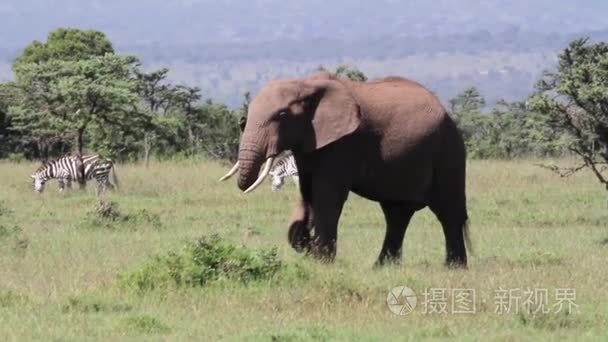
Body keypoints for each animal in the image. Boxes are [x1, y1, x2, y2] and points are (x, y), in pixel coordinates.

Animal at [221, 70, 472, 268]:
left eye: (281, 116)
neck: (305, 84)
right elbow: (307, 191)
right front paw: (304, 244)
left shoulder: (343, 143)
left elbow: (326, 195)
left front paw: (321, 261)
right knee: (397, 213)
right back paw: (383, 267)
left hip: (448, 152)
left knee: (447, 211)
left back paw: (454, 267)